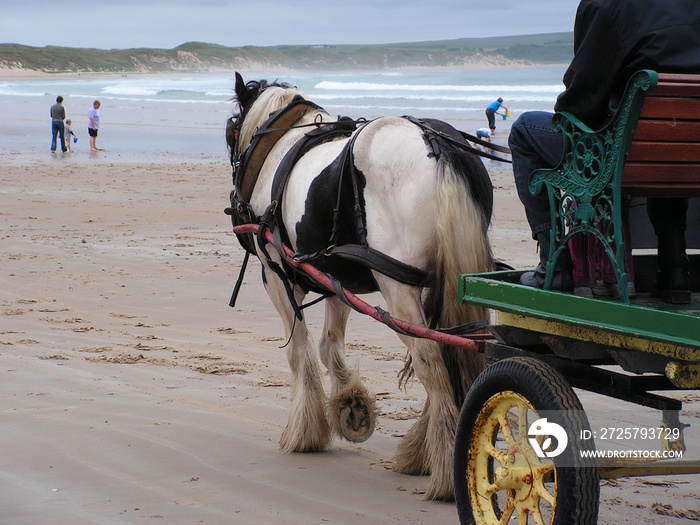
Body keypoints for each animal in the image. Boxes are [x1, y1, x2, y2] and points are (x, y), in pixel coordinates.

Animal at [224, 72, 492, 500]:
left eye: (232, 129)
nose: (234, 200)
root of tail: (437, 144)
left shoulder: (276, 276)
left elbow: (299, 351)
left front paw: (305, 431)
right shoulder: (338, 274)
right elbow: (329, 345)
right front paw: (351, 406)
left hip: (398, 287)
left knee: (432, 359)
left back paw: (445, 472)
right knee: (458, 350)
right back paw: (424, 452)